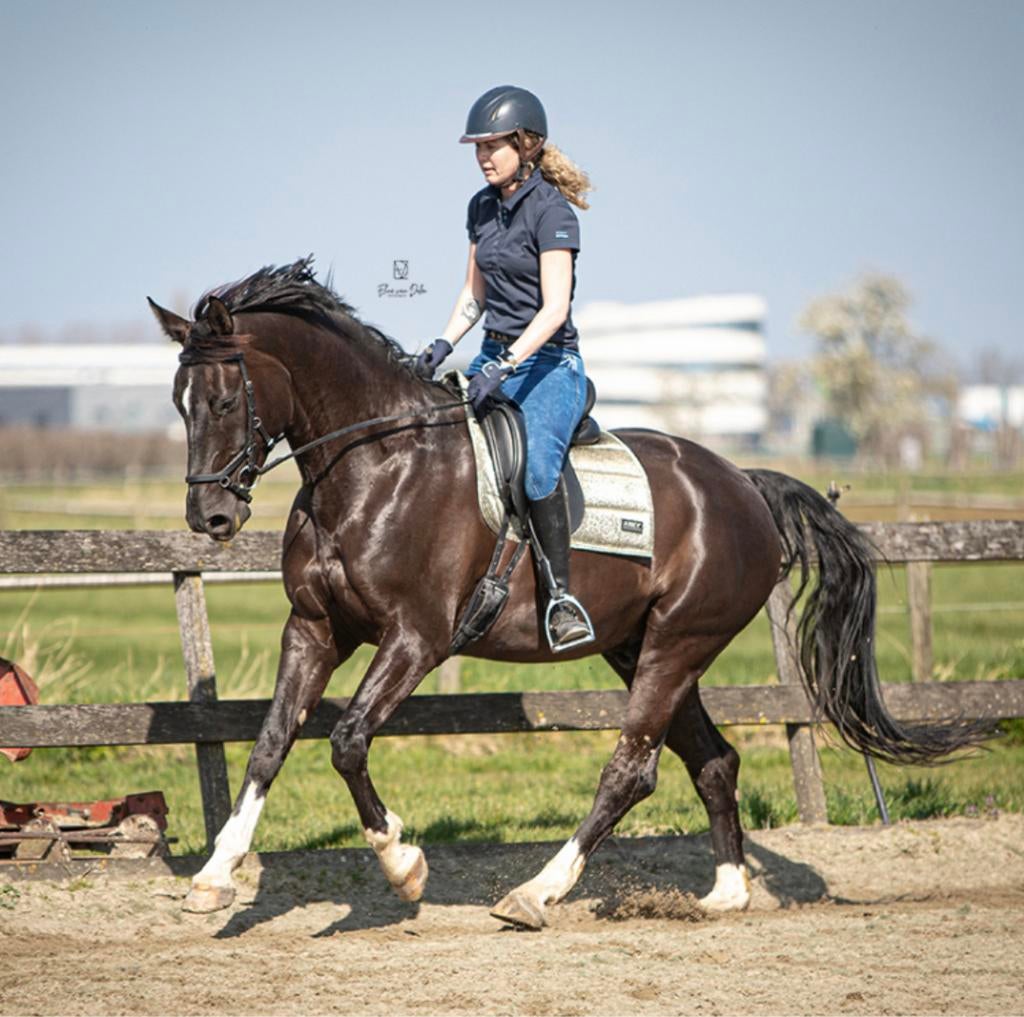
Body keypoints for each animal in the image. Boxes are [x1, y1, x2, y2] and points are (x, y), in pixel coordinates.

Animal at [149, 258, 986, 928]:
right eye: (178, 402)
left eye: (223, 401)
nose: (209, 516)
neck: (374, 467)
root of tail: (744, 484)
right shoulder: (314, 628)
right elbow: (270, 741)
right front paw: (214, 877)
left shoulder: (416, 637)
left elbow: (348, 739)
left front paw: (403, 864)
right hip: (640, 648)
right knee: (711, 761)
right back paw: (724, 893)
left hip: (677, 645)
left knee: (632, 769)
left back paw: (536, 892)